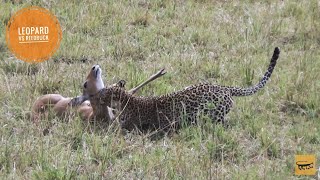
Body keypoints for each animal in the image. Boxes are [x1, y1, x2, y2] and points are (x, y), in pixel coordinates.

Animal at [84, 46, 280, 131]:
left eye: (103, 93)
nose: (96, 96)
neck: (126, 100)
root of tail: (224, 88)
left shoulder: (125, 126)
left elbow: (114, 128)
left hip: (213, 113)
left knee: (221, 122)